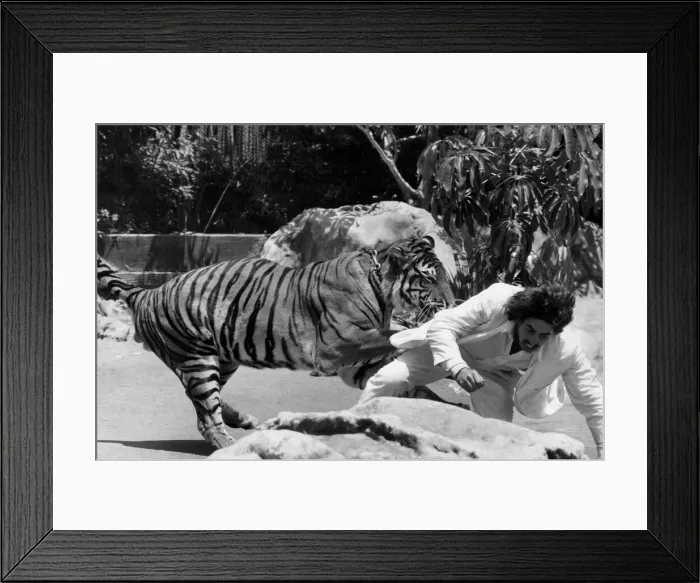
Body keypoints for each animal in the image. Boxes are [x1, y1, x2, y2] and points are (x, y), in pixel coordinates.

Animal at [97, 235, 455, 450]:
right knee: (206, 413)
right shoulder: (337, 348)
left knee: (204, 403)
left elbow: (411, 385)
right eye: (427, 278)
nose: (452, 303)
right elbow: (392, 336)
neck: (381, 289)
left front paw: (448, 406)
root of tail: (149, 292)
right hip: (197, 358)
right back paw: (229, 445)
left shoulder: (356, 365)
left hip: (224, 356)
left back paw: (241, 420)